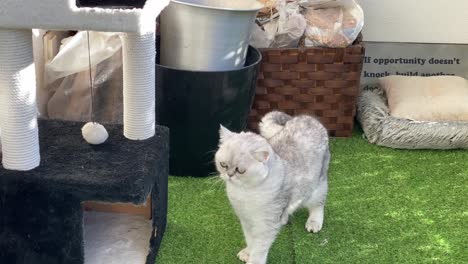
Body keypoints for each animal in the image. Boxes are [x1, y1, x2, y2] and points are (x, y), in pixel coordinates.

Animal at [215, 110, 330, 262]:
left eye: (240, 170)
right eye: (223, 165)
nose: (229, 175)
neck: (246, 192)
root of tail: (307, 117)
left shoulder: (266, 226)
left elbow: (259, 249)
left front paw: (253, 260)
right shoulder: (246, 220)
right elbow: (250, 240)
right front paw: (247, 252)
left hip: (317, 186)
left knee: (318, 204)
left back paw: (314, 222)